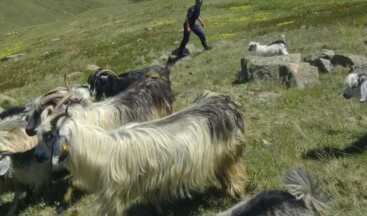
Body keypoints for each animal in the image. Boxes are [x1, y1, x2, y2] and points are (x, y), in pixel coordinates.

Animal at [34, 90, 247, 216]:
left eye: (49, 135)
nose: (37, 157)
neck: (101, 150)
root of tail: (223, 104)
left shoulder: (113, 196)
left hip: (227, 155)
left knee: (234, 174)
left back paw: (236, 196)